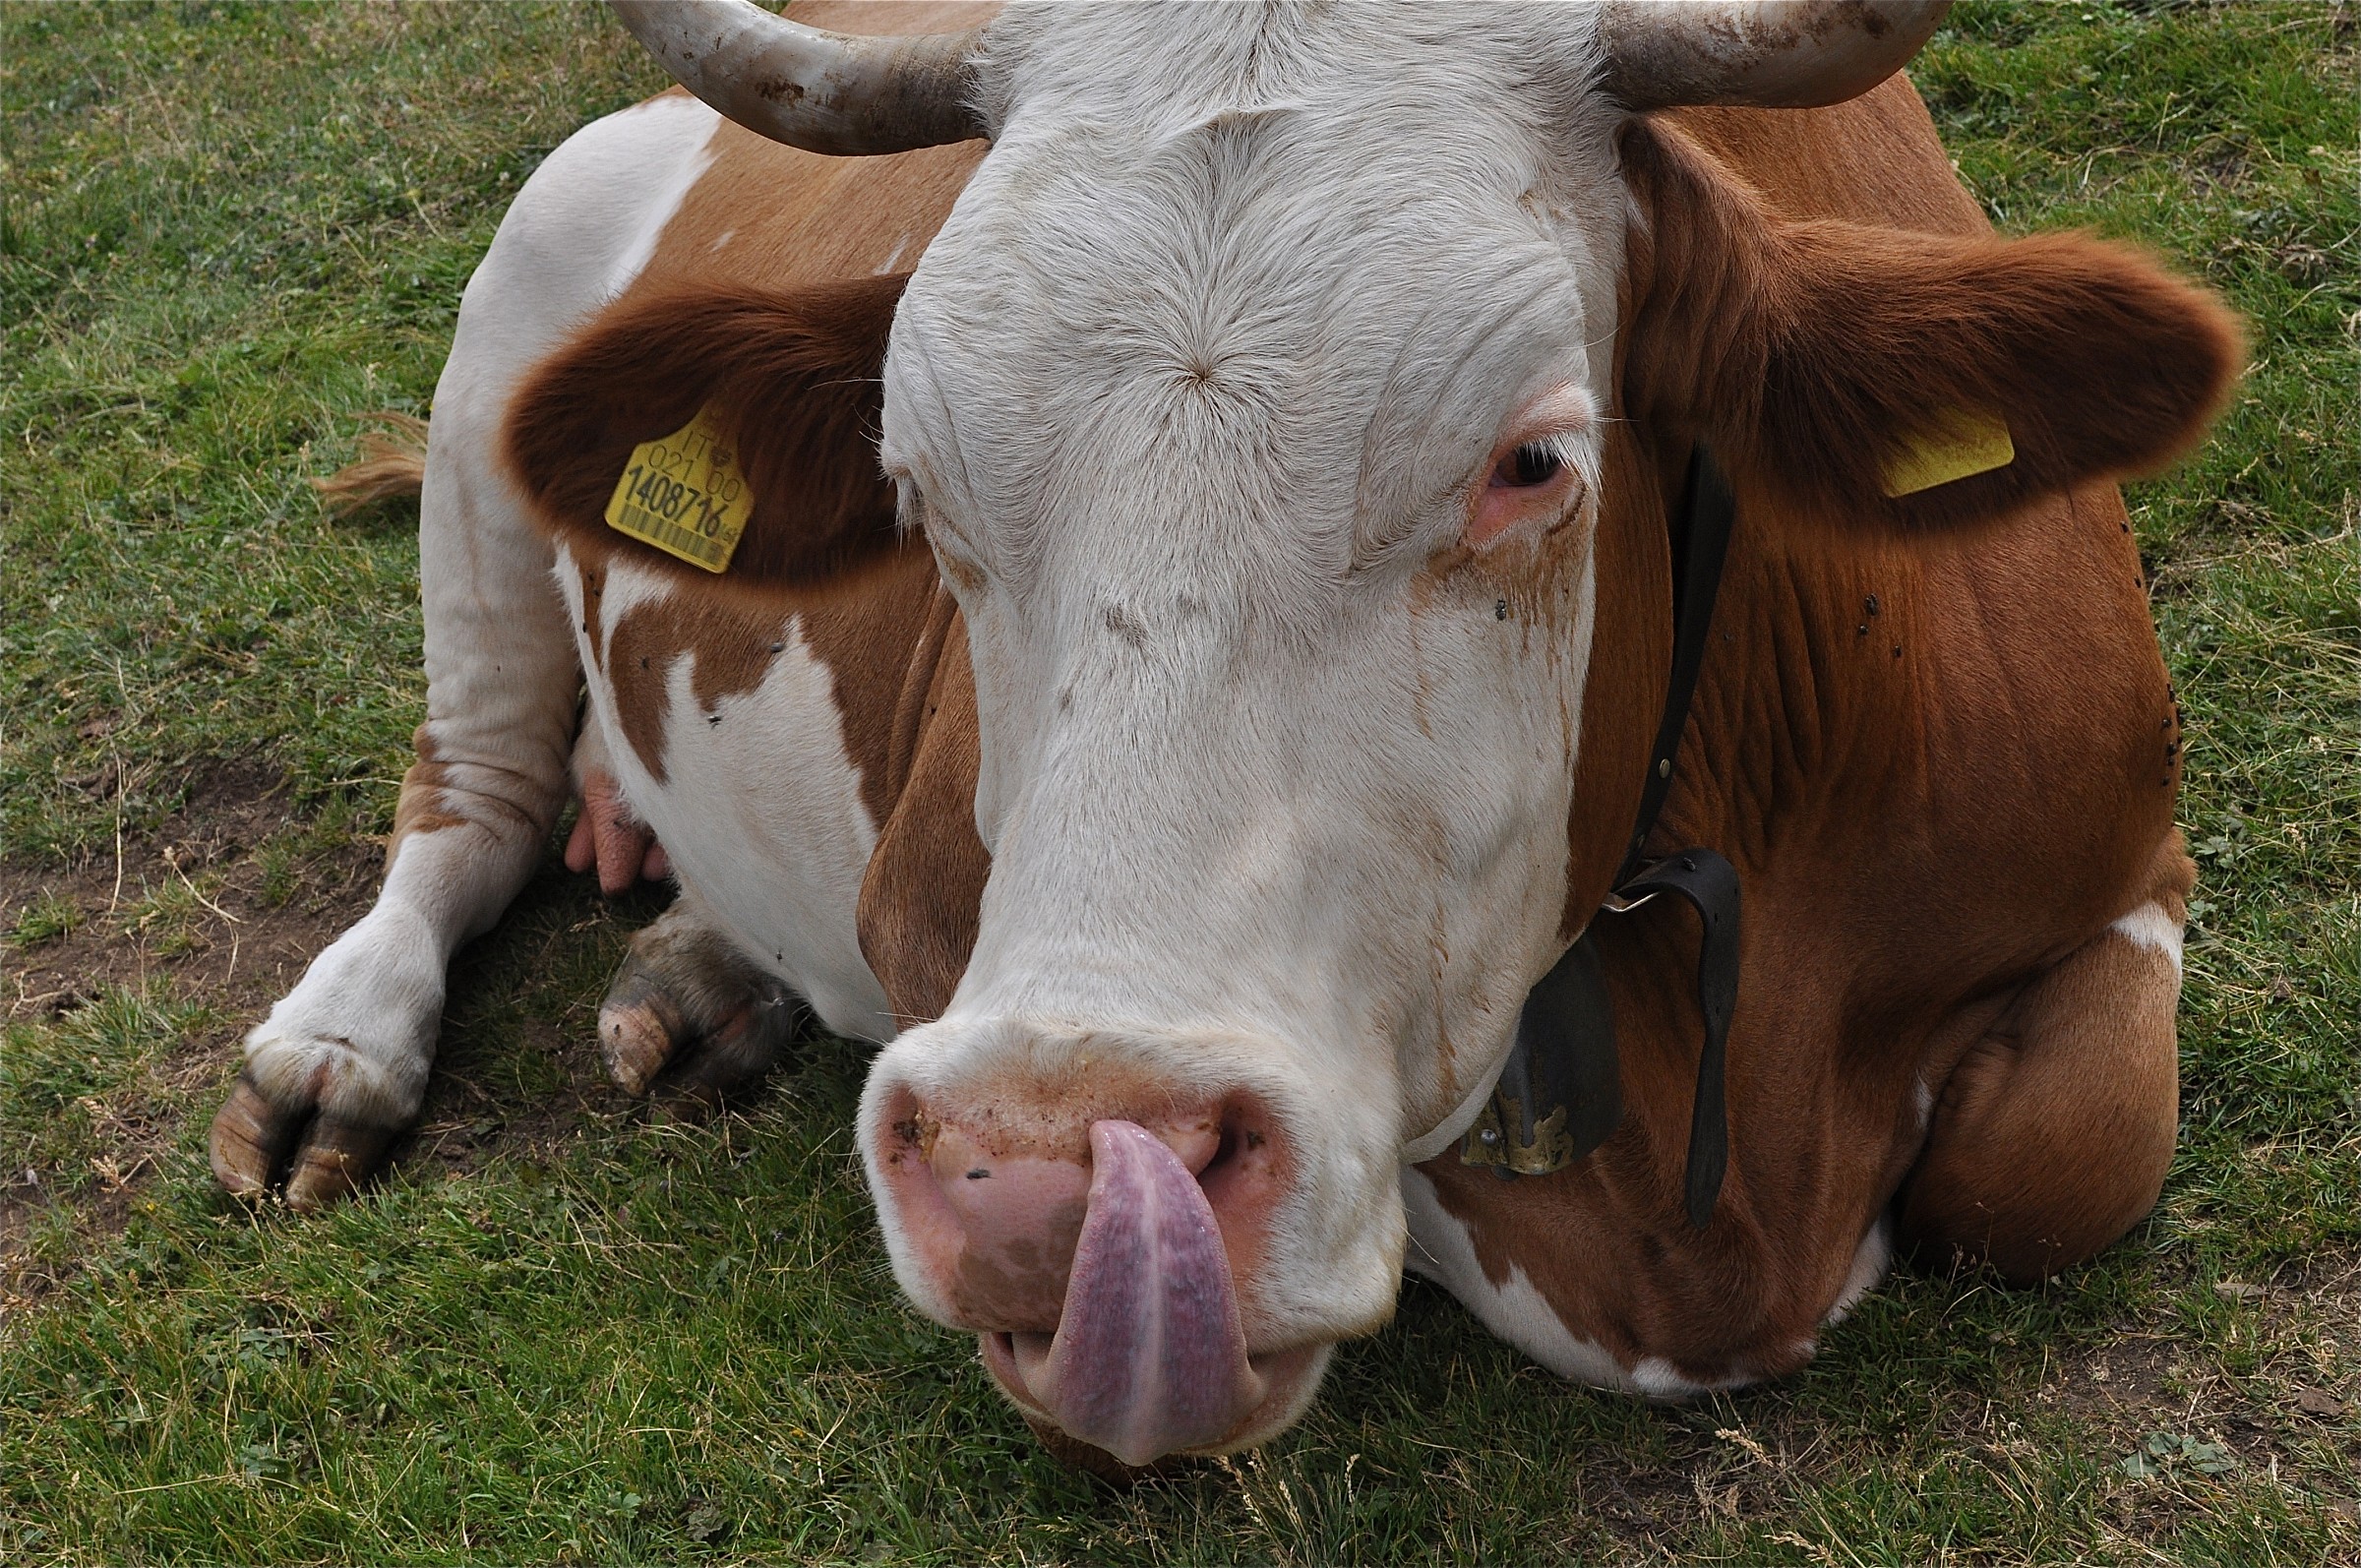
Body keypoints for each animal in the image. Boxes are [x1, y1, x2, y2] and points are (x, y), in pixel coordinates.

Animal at [209, 0, 2240, 1470]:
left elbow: (2059, 1159)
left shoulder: (2131, 852)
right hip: (497, 352)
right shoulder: (931, 908)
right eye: (909, 482)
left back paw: (702, 962)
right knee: (472, 796)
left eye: (1534, 461)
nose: (1040, 1178)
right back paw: (341, 1045)